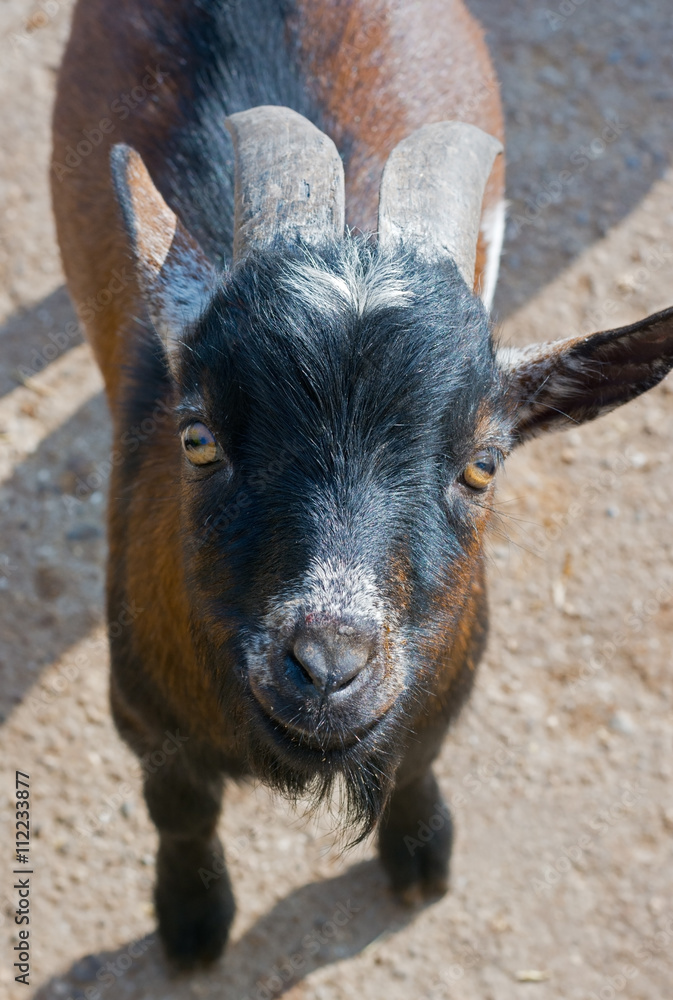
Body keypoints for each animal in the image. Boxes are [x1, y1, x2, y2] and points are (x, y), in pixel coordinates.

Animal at [51, 0, 672, 968]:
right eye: (198, 439)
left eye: (482, 464)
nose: (326, 668)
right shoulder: (144, 719)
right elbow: (180, 816)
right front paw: (191, 922)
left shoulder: (440, 694)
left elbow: (417, 761)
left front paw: (421, 857)